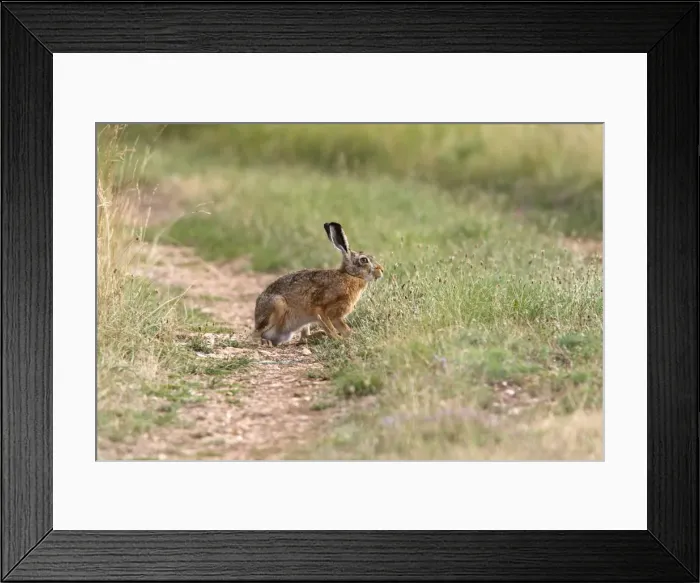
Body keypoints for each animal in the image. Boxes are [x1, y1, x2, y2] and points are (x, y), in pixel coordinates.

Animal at [252, 222, 384, 346]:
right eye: (364, 260)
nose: (381, 270)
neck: (350, 275)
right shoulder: (321, 310)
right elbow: (330, 327)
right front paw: (340, 340)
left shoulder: (336, 317)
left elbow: (345, 330)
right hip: (277, 305)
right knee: (256, 334)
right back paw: (265, 342)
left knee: (303, 337)